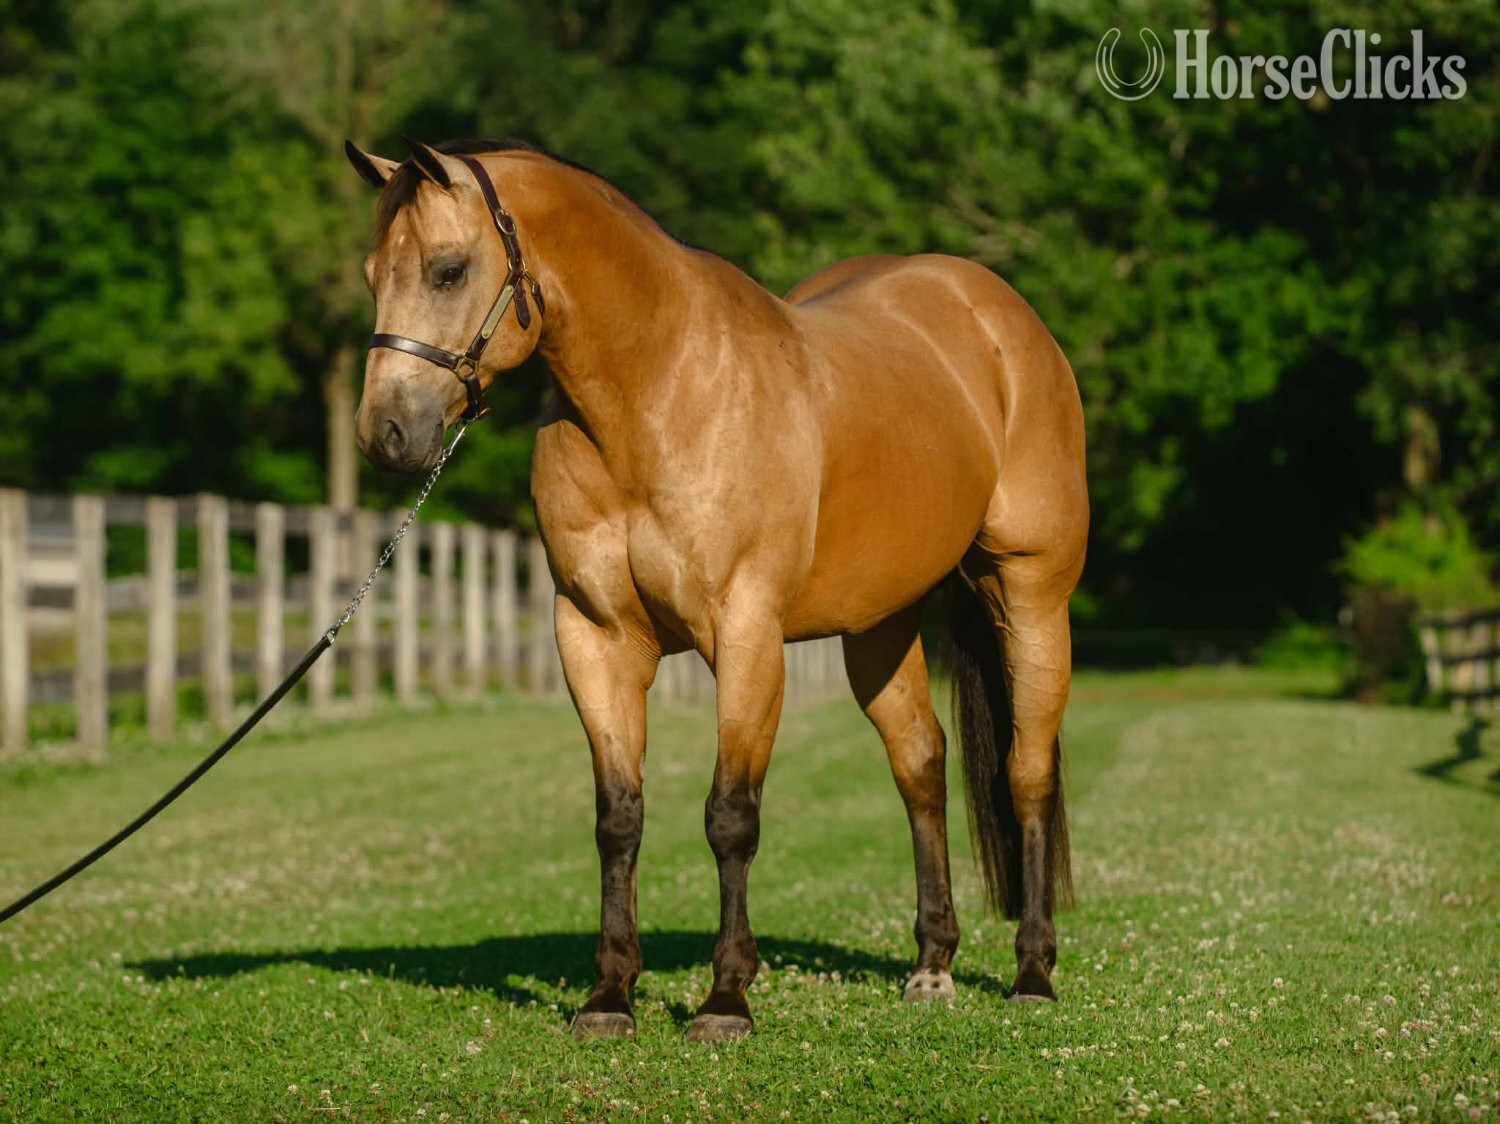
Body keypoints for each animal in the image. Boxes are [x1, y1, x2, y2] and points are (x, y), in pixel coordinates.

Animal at [343, 137, 1088, 1043]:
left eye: (448, 270)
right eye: (373, 273)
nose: (385, 436)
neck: (655, 391)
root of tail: (994, 313)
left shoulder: (744, 633)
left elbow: (731, 815)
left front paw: (725, 998)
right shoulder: (595, 637)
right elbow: (618, 817)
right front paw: (609, 995)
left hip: (1033, 598)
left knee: (1028, 771)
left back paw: (1032, 972)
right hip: (880, 627)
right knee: (920, 764)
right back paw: (933, 966)